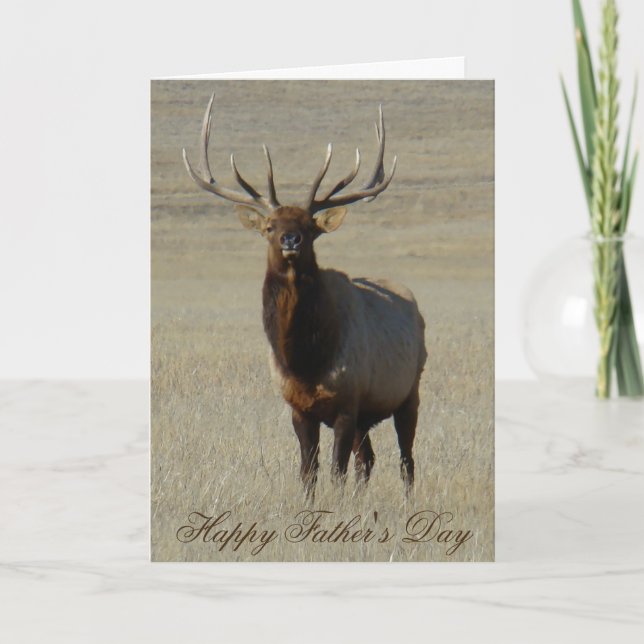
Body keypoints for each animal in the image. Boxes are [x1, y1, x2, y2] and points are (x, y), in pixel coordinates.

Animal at [183, 93, 427, 496]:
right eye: (269, 226)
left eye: (311, 227)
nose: (291, 239)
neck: (305, 360)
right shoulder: (299, 408)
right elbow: (307, 472)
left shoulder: (347, 402)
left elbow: (336, 472)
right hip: (368, 415)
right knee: (368, 459)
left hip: (410, 390)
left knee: (406, 460)